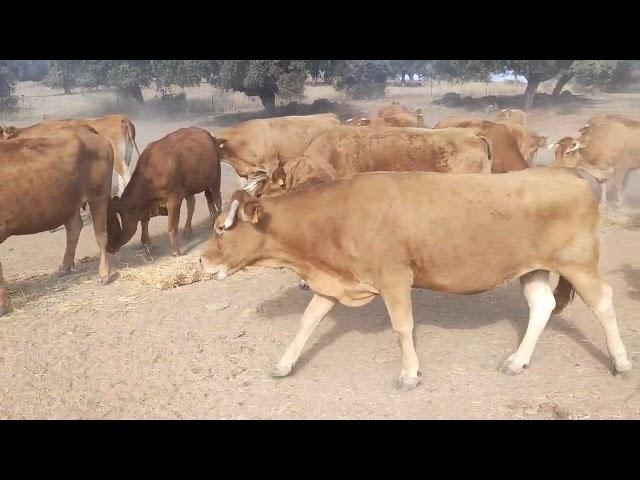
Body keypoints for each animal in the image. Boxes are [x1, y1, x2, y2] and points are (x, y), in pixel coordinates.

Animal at [0, 125, 114, 316]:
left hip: (98, 195)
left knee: (101, 234)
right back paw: (65, 267)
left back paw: (104, 274)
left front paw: (3, 305)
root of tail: (84, 129)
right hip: (69, 201)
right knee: (74, 228)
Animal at [106, 126, 221, 255]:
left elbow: (172, 226)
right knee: (197, 202)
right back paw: (191, 229)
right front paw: (146, 242)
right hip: (191, 186)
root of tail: (204, 131)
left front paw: (176, 251)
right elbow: (144, 221)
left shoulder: (174, 199)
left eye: (113, 225)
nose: (108, 248)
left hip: (216, 177)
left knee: (217, 199)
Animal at [202, 169, 632, 390]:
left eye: (222, 228)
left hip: (579, 263)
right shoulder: (335, 280)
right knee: (542, 306)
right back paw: (516, 361)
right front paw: (284, 364)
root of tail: (568, 174)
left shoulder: (394, 278)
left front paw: (409, 373)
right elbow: (307, 322)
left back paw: (622, 362)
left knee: (605, 302)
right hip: (533, 268)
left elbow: (402, 327)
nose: (204, 261)